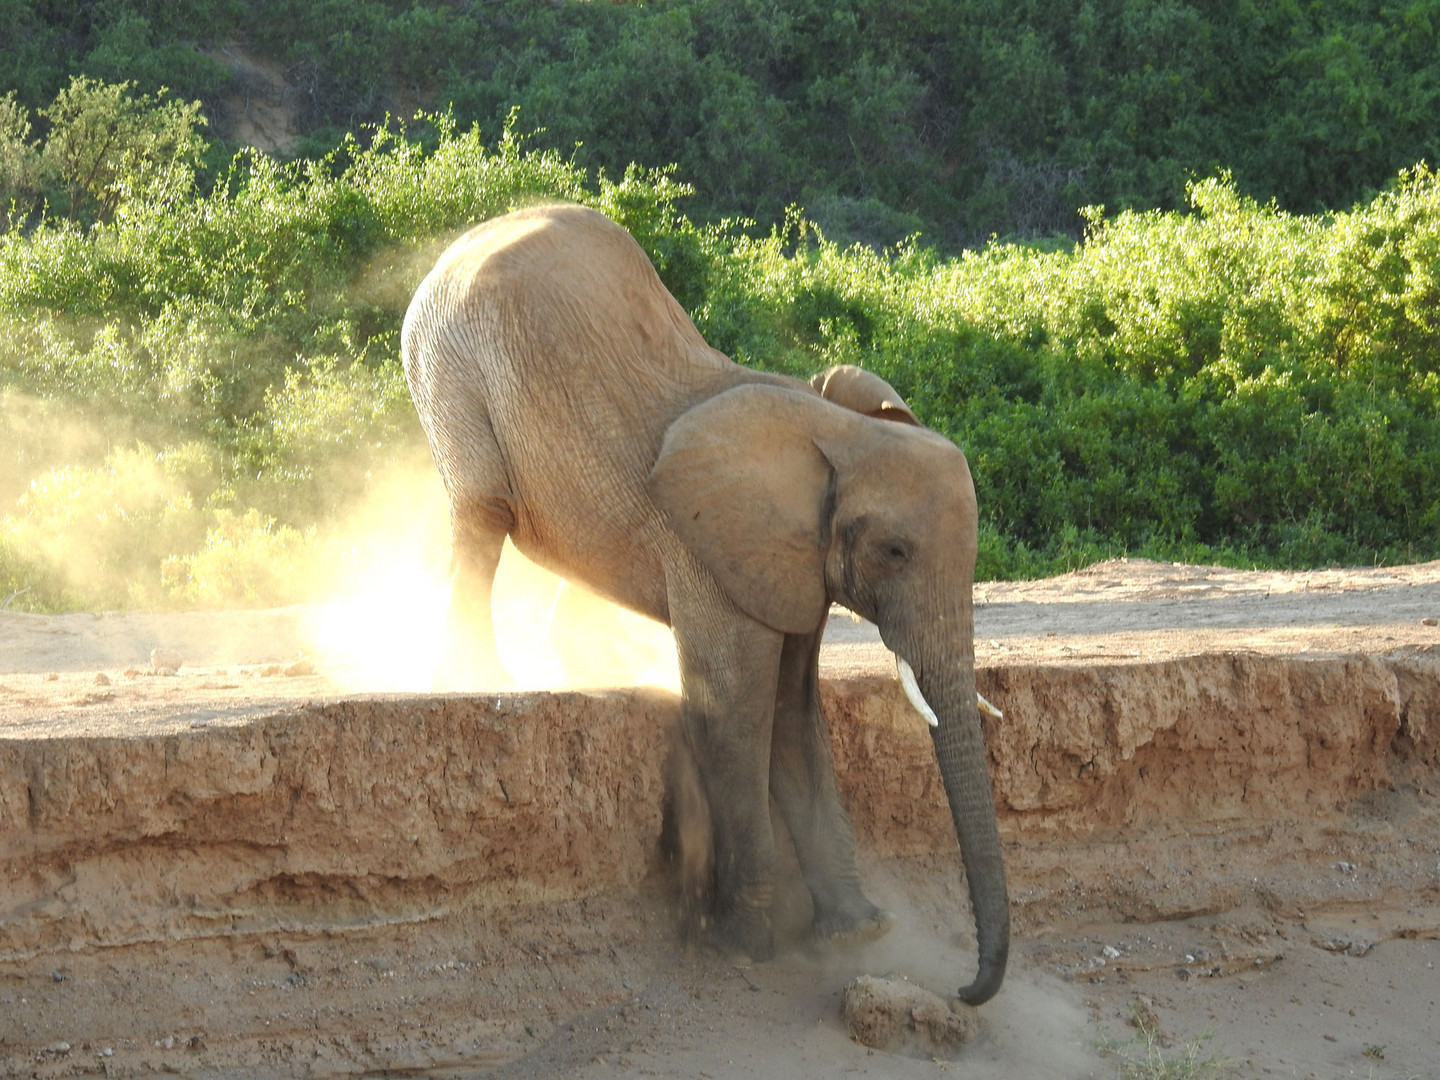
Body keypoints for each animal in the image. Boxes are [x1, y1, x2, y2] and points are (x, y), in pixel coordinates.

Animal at [400, 203, 1013, 1008]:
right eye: (895, 553)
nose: (966, 991)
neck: (831, 430)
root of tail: (459, 243)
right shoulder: (712, 548)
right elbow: (734, 712)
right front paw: (744, 946)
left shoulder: (788, 560)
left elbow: (791, 712)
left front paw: (857, 934)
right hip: (448, 363)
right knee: (482, 509)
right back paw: (479, 675)